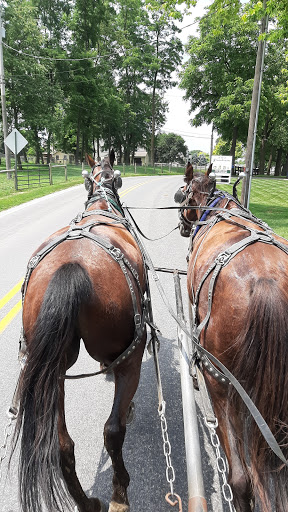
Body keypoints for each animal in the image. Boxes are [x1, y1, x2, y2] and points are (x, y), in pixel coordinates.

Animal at [12, 150, 147, 512]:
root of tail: (70, 267)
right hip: (132, 352)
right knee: (113, 431)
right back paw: (119, 493)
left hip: (52, 367)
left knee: (61, 446)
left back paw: (87, 502)